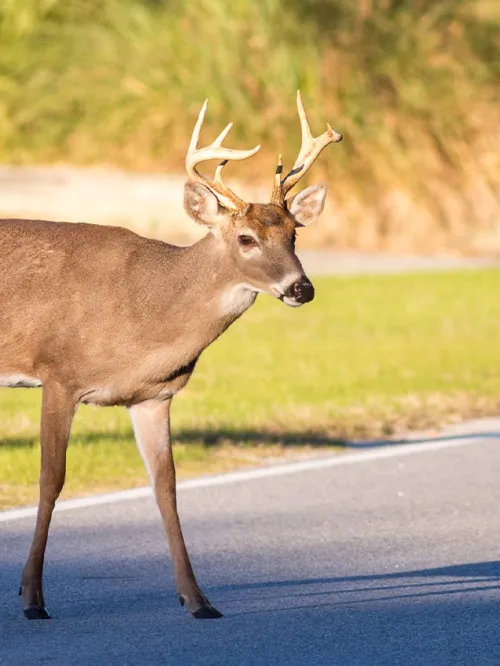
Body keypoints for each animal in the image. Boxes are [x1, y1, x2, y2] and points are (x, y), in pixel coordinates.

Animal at [0, 91, 342, 620]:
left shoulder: (154, 396)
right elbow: (51, 479)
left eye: (294, 234)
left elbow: (167, 487)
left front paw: (198, 599)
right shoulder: (59, 374)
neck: (144, 314)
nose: (301, 288)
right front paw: (33, 597)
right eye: (246, 238)